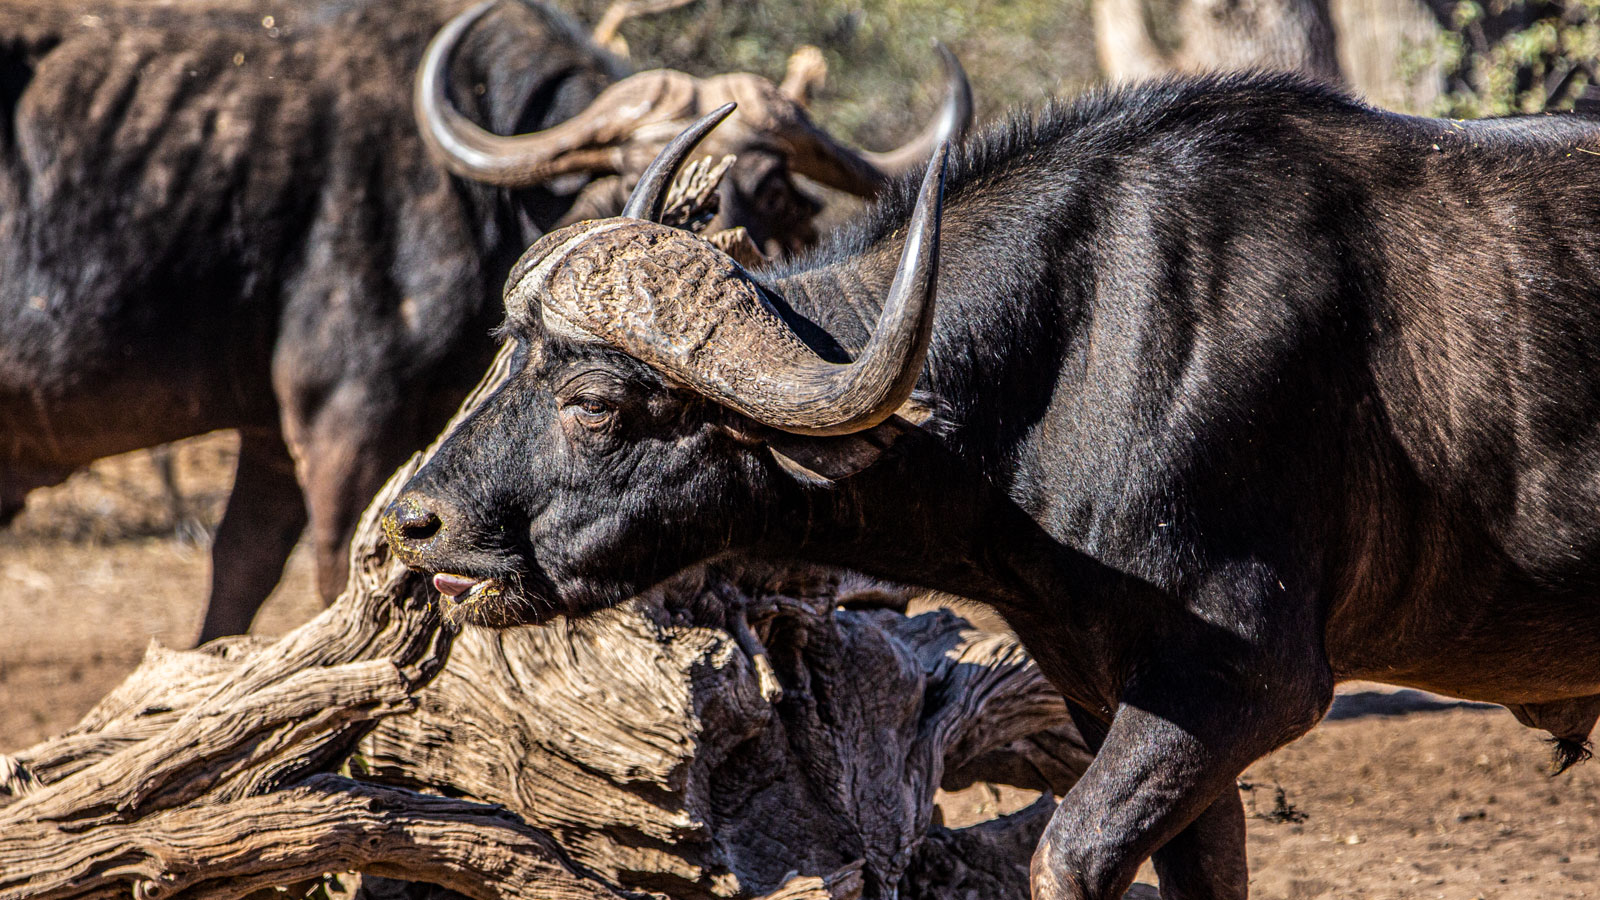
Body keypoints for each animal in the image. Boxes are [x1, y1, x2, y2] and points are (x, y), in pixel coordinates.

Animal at [0, 0, 966, 637]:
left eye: (769, 184)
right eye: (630, 174)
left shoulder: (274, 438)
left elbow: (239, 569)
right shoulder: (344, 426)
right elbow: (330, 574)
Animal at [384, 76, 1600, 896]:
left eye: (593, 400)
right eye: (507, 357)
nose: (413, 521)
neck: (1080, 346)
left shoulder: (1250, 684)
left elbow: (1064, 857)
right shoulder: (1128, 700)